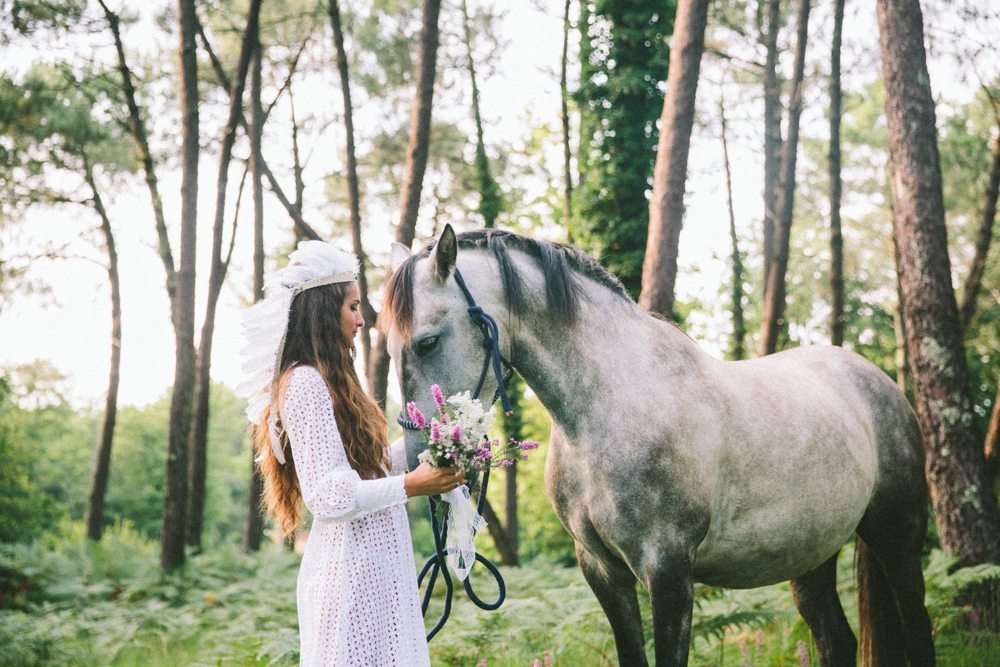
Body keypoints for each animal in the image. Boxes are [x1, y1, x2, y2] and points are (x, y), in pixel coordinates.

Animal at [384, 226, 936, 667]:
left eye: (427, 341)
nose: (417, 462)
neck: (609, 404)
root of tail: (877, 380)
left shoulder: (668, 572)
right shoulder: (603, 572)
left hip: (897, 540)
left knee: (919, 631)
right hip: (811, 557)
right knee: (837, 642)